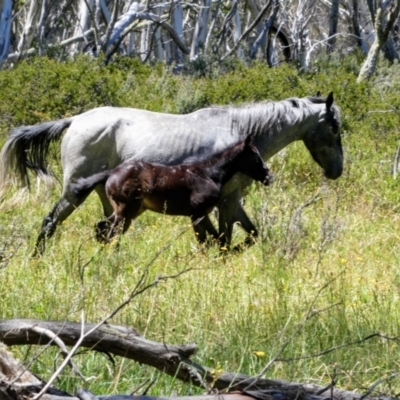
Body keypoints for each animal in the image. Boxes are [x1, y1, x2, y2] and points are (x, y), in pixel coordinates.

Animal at [0, 93, 344, 253]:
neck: (239, 132)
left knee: (105, 232)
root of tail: (74, 121)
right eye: (335, 127)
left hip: (113, 202)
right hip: (75, 191)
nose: (337, 171)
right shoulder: (225, 201)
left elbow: (247, 234)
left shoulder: (232, 200)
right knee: (50, 223)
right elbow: (224, 238)